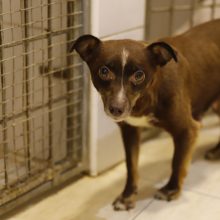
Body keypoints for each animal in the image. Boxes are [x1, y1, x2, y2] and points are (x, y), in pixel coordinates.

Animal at [71, 19, 220, 211]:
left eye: (139, 75)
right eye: (104, 71)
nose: (116, 109)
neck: (148, 94)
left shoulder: (187, 130)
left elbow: (177, 162)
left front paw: (170, 190)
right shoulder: (130, 130)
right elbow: (131, 166)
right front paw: (127, 196)